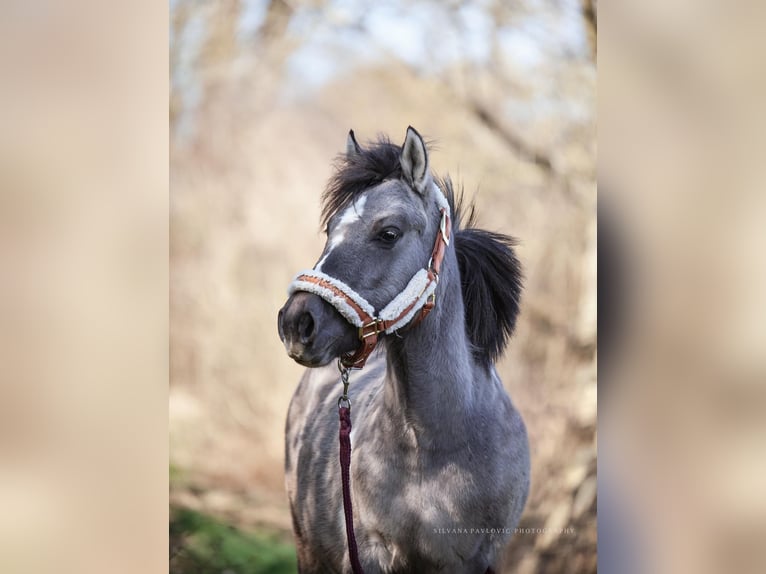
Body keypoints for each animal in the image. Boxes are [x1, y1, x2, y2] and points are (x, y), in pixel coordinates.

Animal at [280, 128, 532, 572]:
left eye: (389, 233)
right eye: (330, 231)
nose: (296, 322)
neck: (432, 447)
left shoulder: (471, 561)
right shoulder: (368, 553)